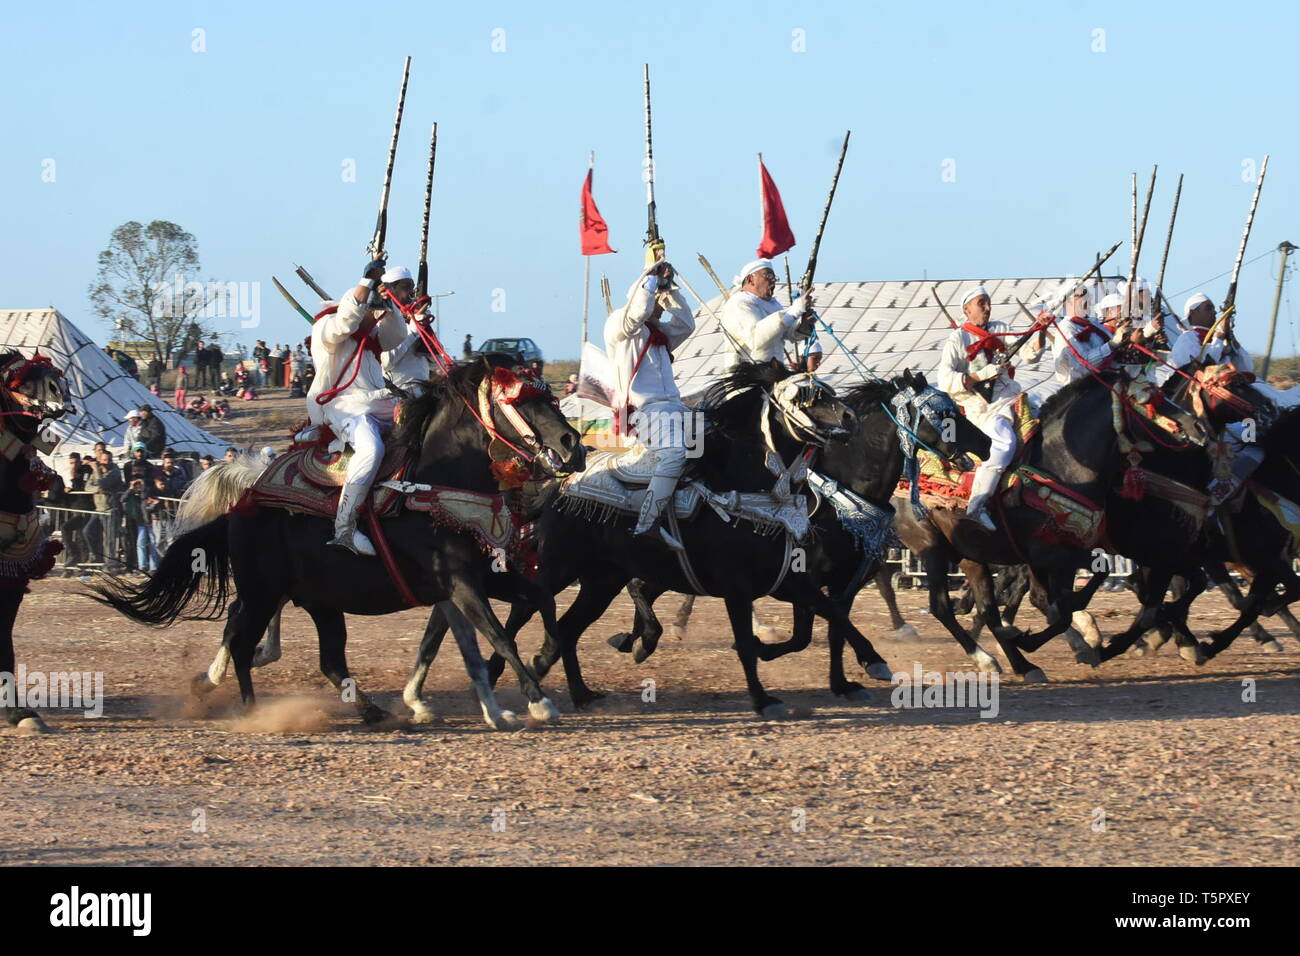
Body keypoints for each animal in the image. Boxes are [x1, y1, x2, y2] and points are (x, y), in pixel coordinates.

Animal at [98, 356, 587, 723]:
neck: (436, 483)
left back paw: (370, 710)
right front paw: (537, 701)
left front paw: (539, 664)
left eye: (549, 394)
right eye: (522, 399)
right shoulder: (459, 583)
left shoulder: (483, 578)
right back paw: (251, 709)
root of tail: (241, 506)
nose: (573, 444)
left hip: (318, 601)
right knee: (241, 639)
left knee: (324, 658)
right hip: (263, 592)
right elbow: (495, 635)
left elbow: (538, 601)